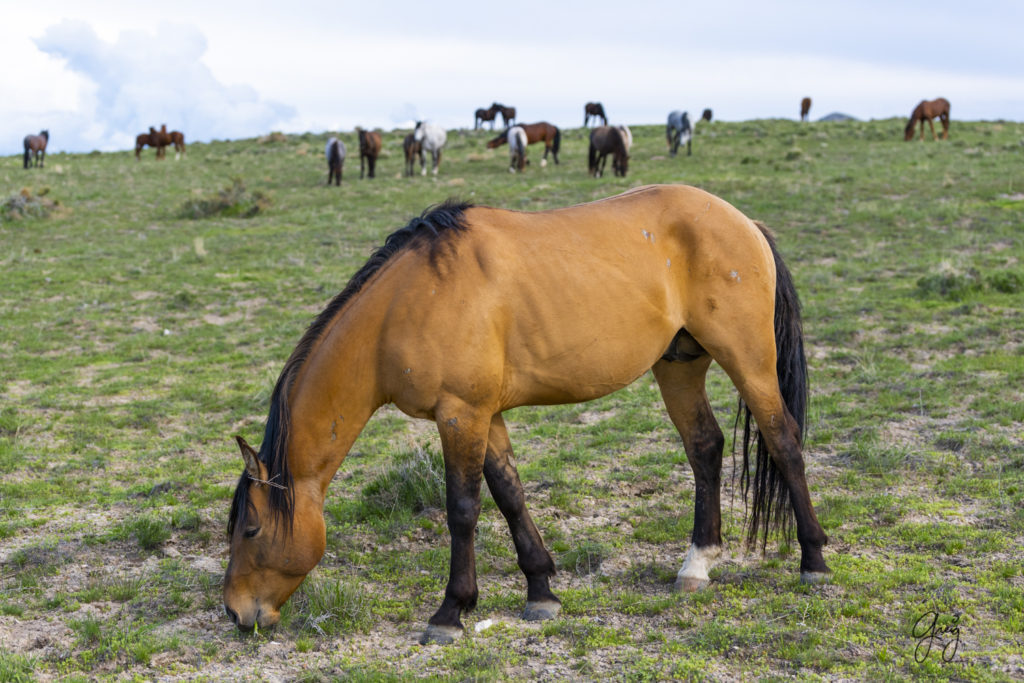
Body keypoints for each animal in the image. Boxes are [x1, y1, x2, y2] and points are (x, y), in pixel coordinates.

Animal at [224, 187, 831, 647]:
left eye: (251, 528)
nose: (235, 612)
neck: (407, 303)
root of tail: (744, 222)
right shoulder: (485, 416)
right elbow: (509, 493)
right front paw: (541, 590)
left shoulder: (459, 414)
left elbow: (463, 510)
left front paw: (451, 613)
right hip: (679, 366)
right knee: (704, 447)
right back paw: (696, 565)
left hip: (748, 358)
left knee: (784, 441)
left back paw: (813, 560)